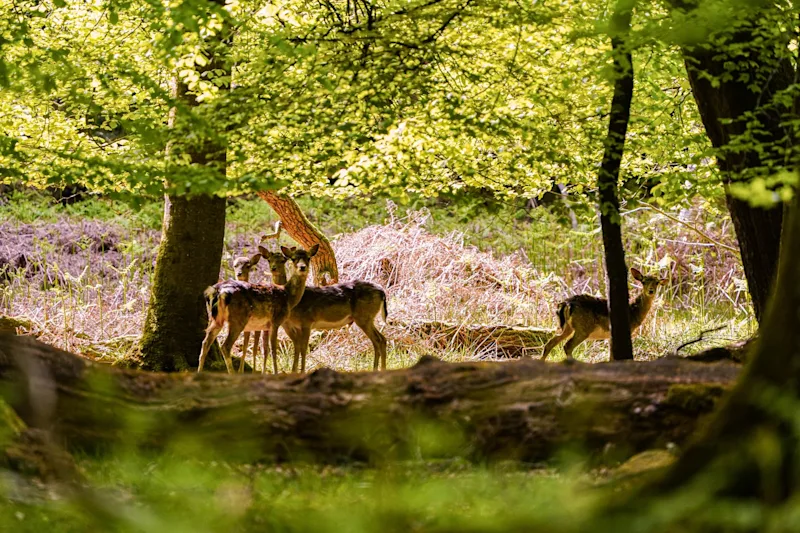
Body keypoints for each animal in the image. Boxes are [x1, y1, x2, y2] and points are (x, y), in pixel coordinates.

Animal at [198, 245, 318, 374]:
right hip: (237, 319)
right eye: (293, 259)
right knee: (225, 346)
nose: (302, 267)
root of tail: (218, 291)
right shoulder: (276, 321)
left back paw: (199, 373)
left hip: (214, 318)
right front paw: (275, 373)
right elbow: (273, 350)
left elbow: (265, 348)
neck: (288, 296)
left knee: (205, 343)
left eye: (309, 258)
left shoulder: (265, 326)